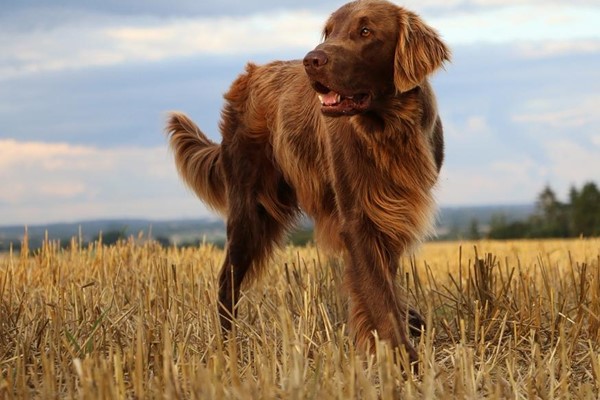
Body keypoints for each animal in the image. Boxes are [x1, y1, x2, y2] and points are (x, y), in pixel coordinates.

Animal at [166, 0, 448, 362]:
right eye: (328, 32)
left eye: (365, 31)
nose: (311, 60)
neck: (387, 130)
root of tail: (249, 74)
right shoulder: (357, 218)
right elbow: (379, 295)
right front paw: (403, 360)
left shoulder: (391, 213)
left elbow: (382, 286)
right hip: (249, 212)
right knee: (227, 282)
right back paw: (226, 347)